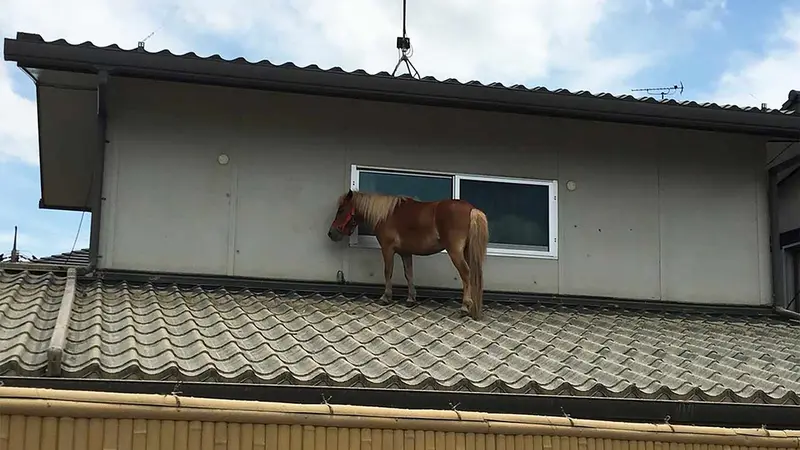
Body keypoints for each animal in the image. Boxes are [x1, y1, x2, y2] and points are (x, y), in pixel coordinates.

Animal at [324, 190, 488, 320]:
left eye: (341, 210)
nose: (331, 233)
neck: (387, 215)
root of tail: (472, 209)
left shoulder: (388, 249)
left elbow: (388, 272)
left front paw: (386, 296)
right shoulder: (406, 253)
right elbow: (408, 274)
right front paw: (411, 299)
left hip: (455, 252)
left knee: (466, 274)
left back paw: (465, 307)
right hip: (467, 251)